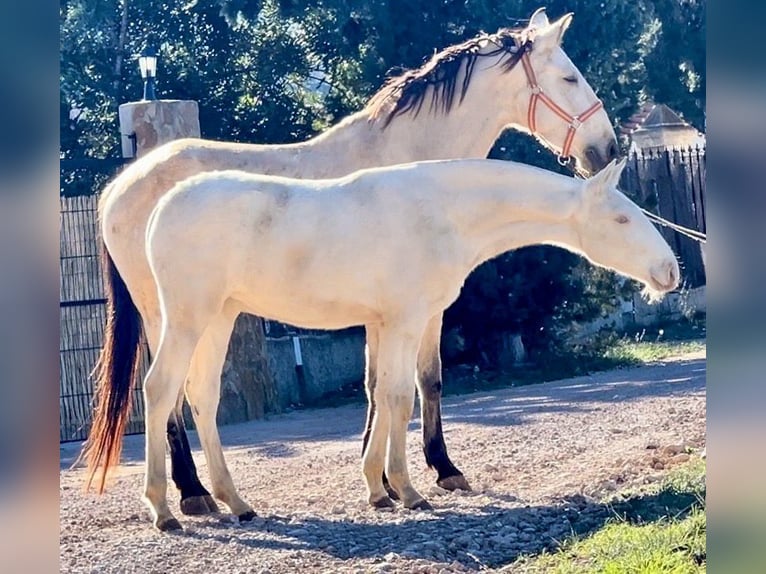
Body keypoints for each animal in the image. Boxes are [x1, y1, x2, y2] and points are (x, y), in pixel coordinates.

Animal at [118, 156, 680, 532]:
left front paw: (380, 490)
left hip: (220, 318)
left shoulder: (393, 324)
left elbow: (391, 399)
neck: (442, 212)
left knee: (202, 398)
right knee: (160, 389)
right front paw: (407, 490)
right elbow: (397, 399)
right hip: (188, 318)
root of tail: (159, 208)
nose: (670, 270)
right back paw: (165, 509)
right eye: (621, 219)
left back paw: (235, 502)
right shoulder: (407, 321)